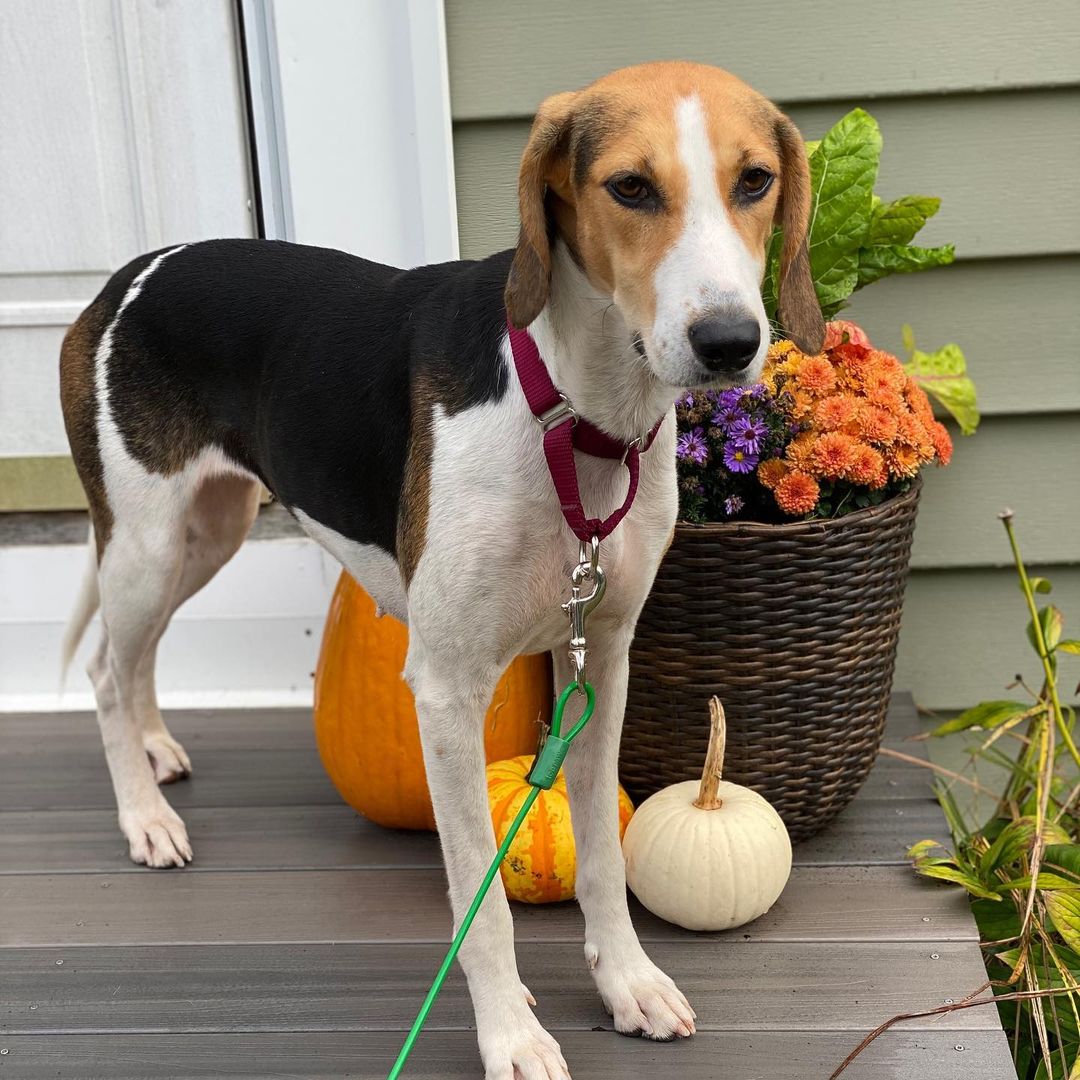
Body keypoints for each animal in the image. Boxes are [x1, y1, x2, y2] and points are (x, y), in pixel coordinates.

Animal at [61, 61, 816, 1080]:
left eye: (755, 181)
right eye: (629, 188)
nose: (730, 342)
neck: (572, 413)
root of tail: (130, 276)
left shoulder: (603, 659)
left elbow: (605, 858)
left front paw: (627, 983)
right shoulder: (449, 692)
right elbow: (481, 904)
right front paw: (511, 1036)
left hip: (208, 534)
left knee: (137, 658)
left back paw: (153, 751)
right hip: (146, 545)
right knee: (107, 665)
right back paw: (143, 818)